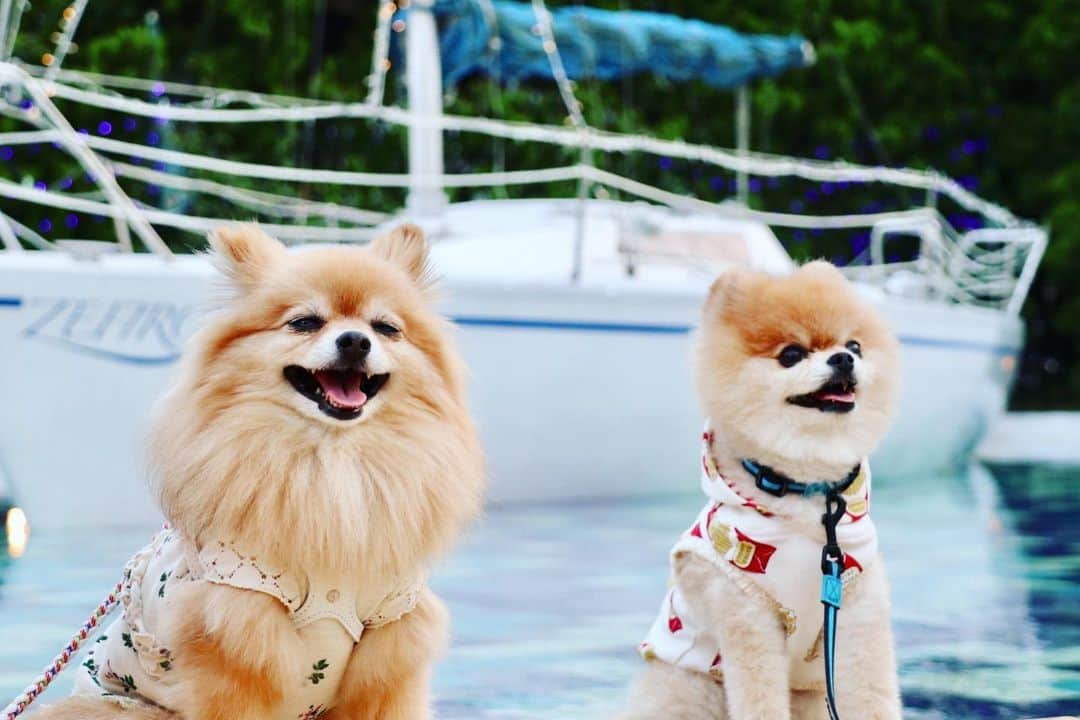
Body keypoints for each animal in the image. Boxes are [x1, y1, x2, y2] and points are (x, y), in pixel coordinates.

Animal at [38, 223, 486, 720]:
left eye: (386, 328)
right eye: (305, 322)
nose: (355, 340)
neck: (333, 465)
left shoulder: (391, 641)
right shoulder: (238, 641)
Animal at [626, 263, 902, 720]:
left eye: (855, 346)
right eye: (791, 354)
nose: (843, 358)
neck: (807, 500)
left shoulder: (860, 608)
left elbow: (873, 696)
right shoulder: (749, 614)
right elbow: (760, 700)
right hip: (691, 687)